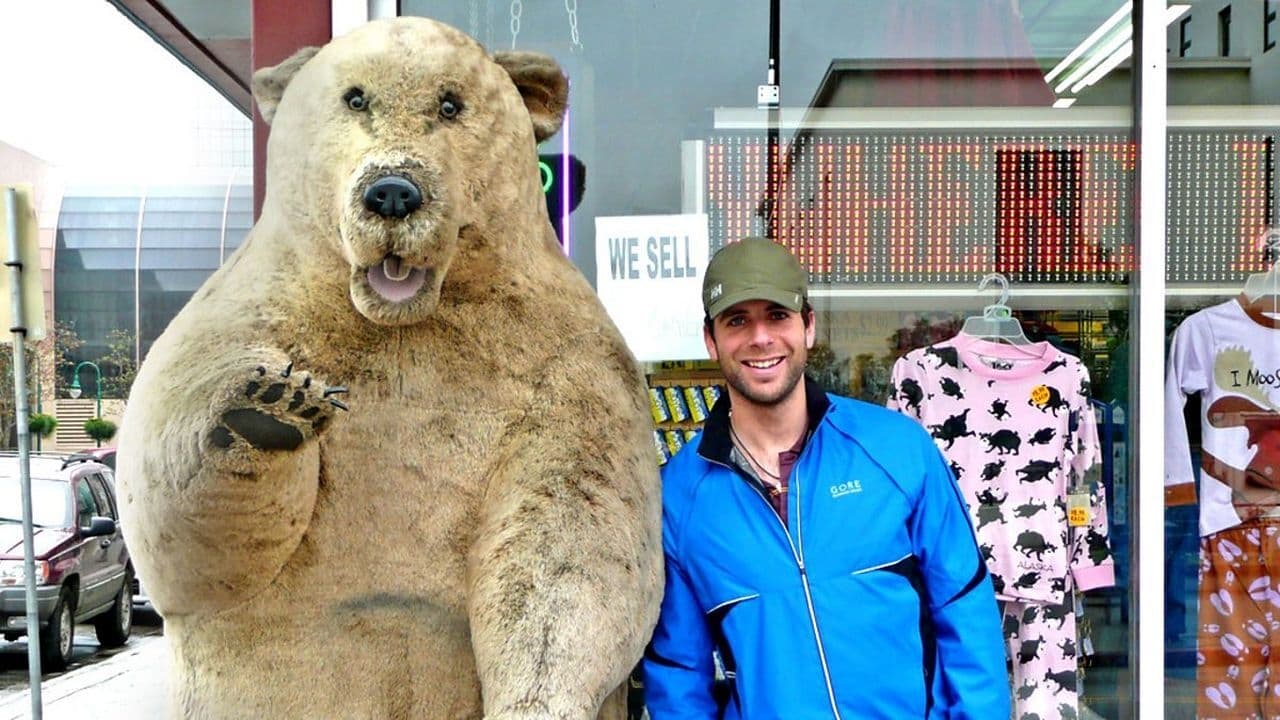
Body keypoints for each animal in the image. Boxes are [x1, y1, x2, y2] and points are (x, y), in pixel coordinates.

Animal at [116, 16, 665, 717]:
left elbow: (574, 533)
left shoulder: (566, 358)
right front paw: (269, 408)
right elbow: (178, 533)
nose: (393, 194)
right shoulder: (245, 311)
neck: (398, 320)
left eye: (450, 103)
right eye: (355, 98)